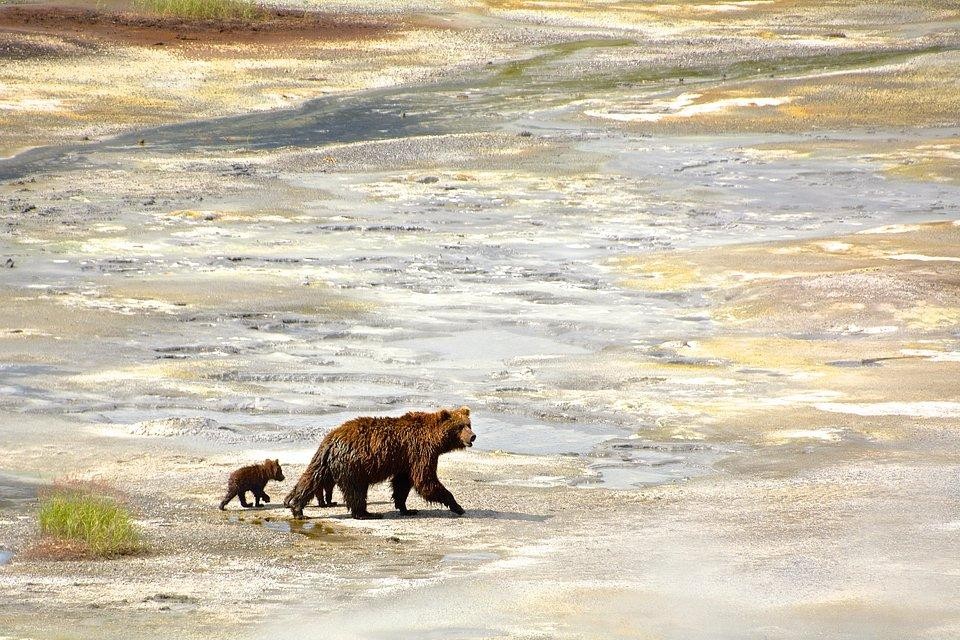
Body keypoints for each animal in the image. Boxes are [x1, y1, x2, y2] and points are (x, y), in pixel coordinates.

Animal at [286, 410, 478, 520]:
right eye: (460, 426)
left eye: (469, 424)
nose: (473, 436)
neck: (435, 439)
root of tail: (332, 439)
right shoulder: (420, 451)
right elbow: (425, 480)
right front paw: (457, 506)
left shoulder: (406, 459)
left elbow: (402, 483)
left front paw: (407, 508)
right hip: (354, 465)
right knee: (357, 490)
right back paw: (367, 513)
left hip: (325, 462)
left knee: (311, 479)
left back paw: (296, 507)